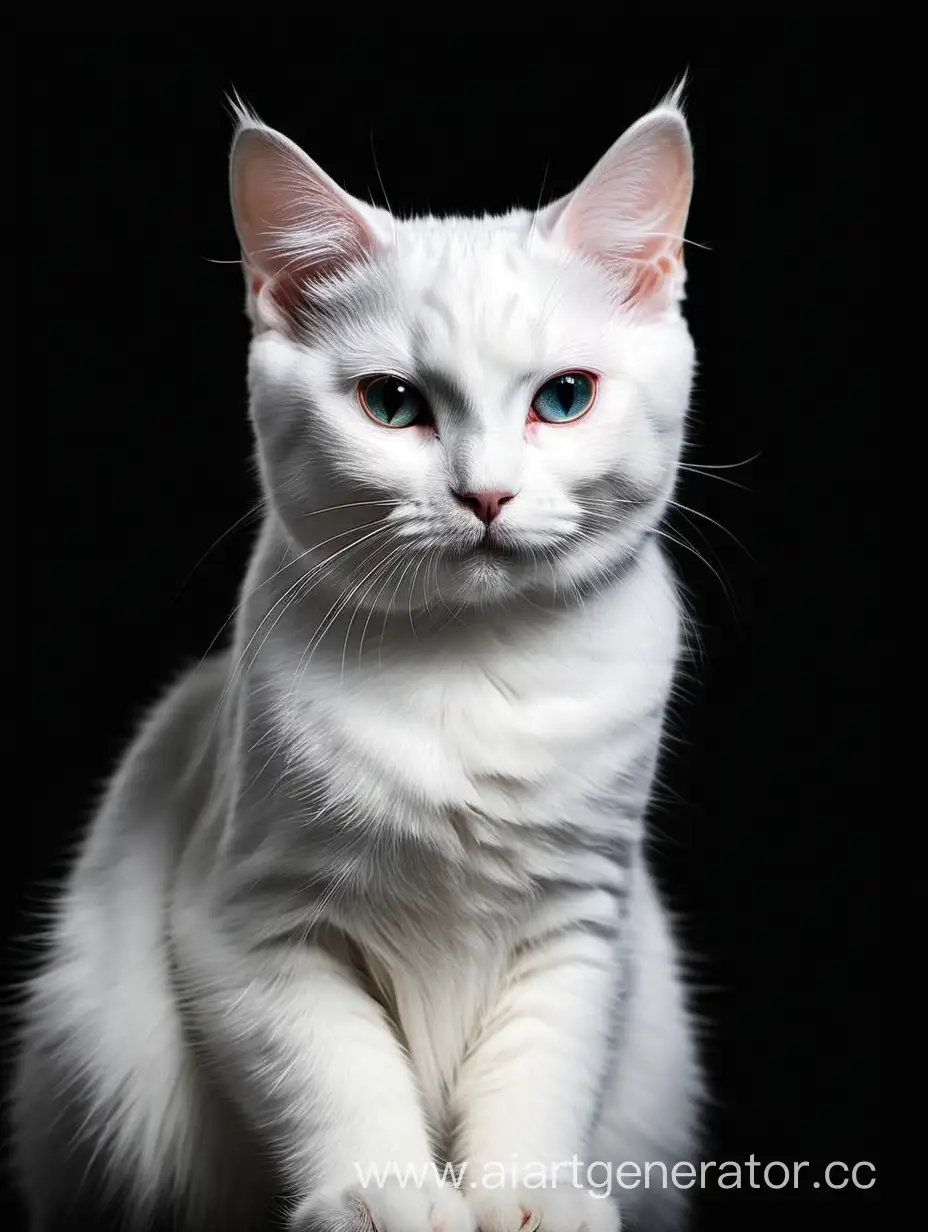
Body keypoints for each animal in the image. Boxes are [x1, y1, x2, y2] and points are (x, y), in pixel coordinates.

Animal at [10, 89, 700, 1232]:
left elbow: (540, 1074)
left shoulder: (578, 921)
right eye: (392, 404)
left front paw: (531, 1193)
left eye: (563, 399)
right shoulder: (254, 928)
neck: (471, 667)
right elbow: (337, 1076)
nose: (484, 495)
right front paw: (384, 1192)